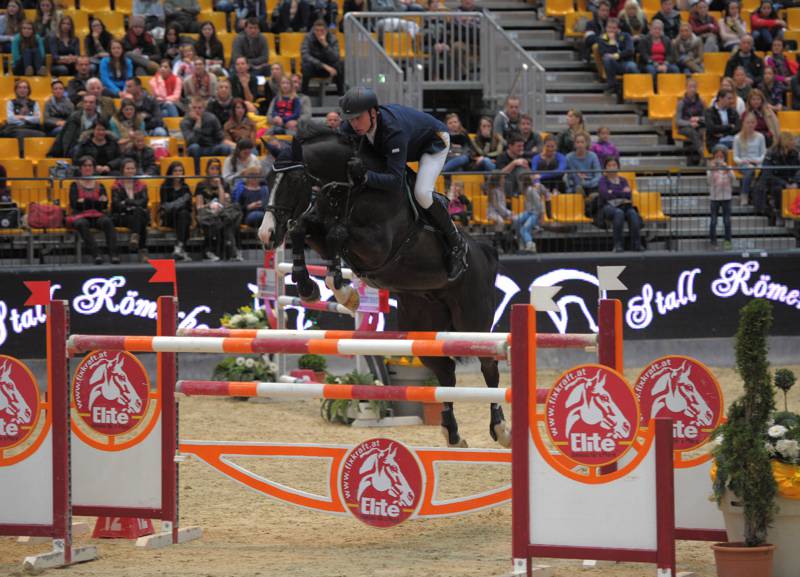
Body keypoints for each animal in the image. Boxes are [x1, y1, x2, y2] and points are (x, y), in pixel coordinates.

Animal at [260, 124, 510, 448]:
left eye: (292, 181)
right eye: (267, 180)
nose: (265, 234)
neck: (351, 188)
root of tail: (484, 252)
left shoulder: (377, 246)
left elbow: (337, 233)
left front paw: (343, 290)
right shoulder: (320, 228)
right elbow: (302, 228)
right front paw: (310, 286)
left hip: (472, 321)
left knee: (489, 368)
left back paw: (501, 429)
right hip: (423, 326)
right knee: (446, 375)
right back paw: (452, 433)